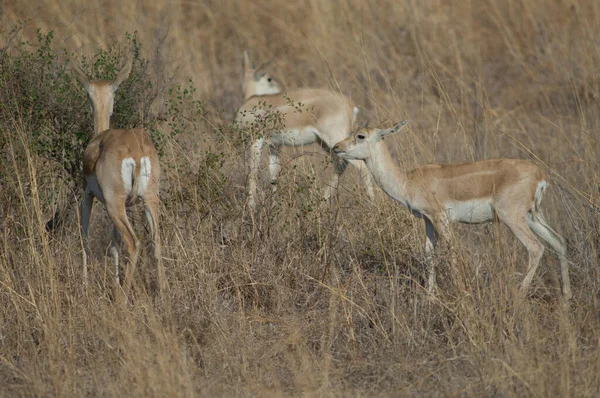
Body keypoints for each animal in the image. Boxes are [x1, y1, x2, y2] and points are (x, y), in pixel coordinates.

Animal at [70, 59, 164, 296]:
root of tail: (136, 150)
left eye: (87, 94)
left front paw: (85, 285)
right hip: (148, 199)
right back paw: (164, 294)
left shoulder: (88, 197)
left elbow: (84, 239)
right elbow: (114, 244)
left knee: (133, 243)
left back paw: (121, 297)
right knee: (156, 242)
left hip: (115, 205)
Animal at [236, 51, 372, 210]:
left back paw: (372, 204)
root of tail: (350, 105)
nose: (282, 90)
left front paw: (251, 208)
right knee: (340, 166)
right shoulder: (275, 146)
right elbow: (273, 174)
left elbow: (253, 174)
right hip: (329, 144)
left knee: (362, 167)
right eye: (269, 79)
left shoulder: (255, 141)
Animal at [332, 122, 572, 302]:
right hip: (533, 216)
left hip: (512, 217)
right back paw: (566, 297)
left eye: (360, 135)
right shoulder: (428, 220)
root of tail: (540, 175)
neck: (408, 181)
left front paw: (461, 291)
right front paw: (430, 296)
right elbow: (428, 254)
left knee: (536, 247)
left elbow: (452, 250)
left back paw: (519, 294)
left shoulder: (440, 217)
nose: (336, 147)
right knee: (558, 241)